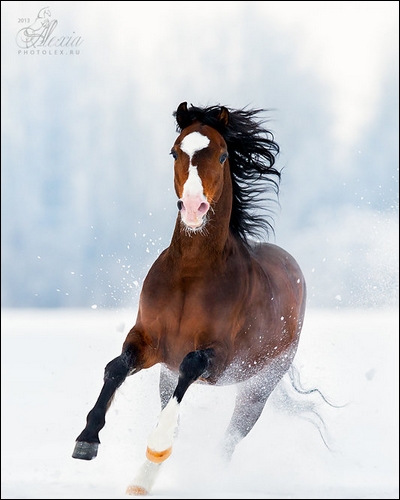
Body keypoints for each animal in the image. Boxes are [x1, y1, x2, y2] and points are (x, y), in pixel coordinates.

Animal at [72, 99, 306, 494]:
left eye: (224, 155)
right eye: (175, 151)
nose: (194, 206)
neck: (190, 276)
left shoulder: (219, 357)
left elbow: (190, 367)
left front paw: (155, 450)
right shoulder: (150, 342)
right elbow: (115, 368)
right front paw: (87, 440)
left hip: (259, 386)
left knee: (231, 437)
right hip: (168, 374)